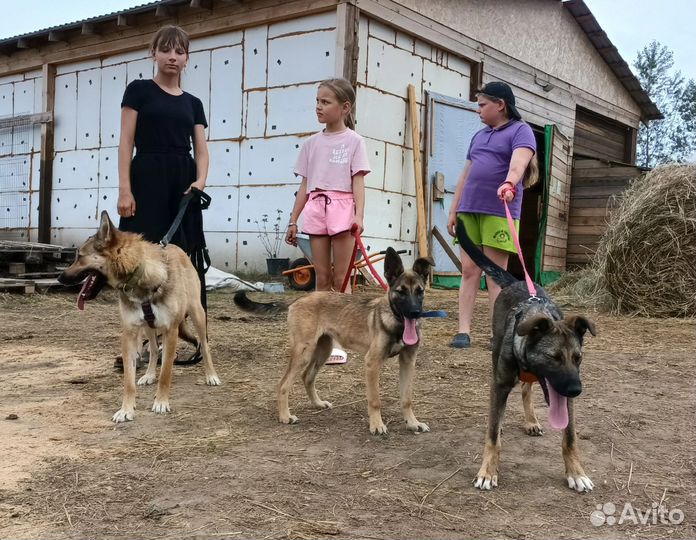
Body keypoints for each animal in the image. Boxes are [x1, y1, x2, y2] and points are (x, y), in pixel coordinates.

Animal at [59, 210, 219, 422]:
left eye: (80, 256)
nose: (59, 278)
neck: (137, 274)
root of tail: (177, 248)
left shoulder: (171, 331)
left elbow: (166, 373)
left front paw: (161, 402)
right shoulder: (129, 333)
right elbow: (129, 380)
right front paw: (126, 409)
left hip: (197, 314)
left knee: (204, 345)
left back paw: (211, 375)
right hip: (148, 327)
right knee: (154, 349)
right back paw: (149, 375)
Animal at [234, 247, 432, 436]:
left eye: (420, 292)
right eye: (401, 292)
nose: (415, 312)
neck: (398, 324)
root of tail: (298, 299)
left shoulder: (408, 361)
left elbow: (407, 398)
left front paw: (412, 423)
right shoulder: (372, 363)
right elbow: (375, 400)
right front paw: (376, 425)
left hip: (323, 350)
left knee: (307, 377)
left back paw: (318, 404)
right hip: (304, 352)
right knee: (283, 384)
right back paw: (285, 416)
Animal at [454, 220, 596, 494]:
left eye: (578, 357)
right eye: (553, 357)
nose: (576, 390)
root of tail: (516, 281)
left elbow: (570, 437)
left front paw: (576, 472)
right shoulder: (499, 385)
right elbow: (492, 437)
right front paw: (487, 472)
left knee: (526, 389)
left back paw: (531, 420)